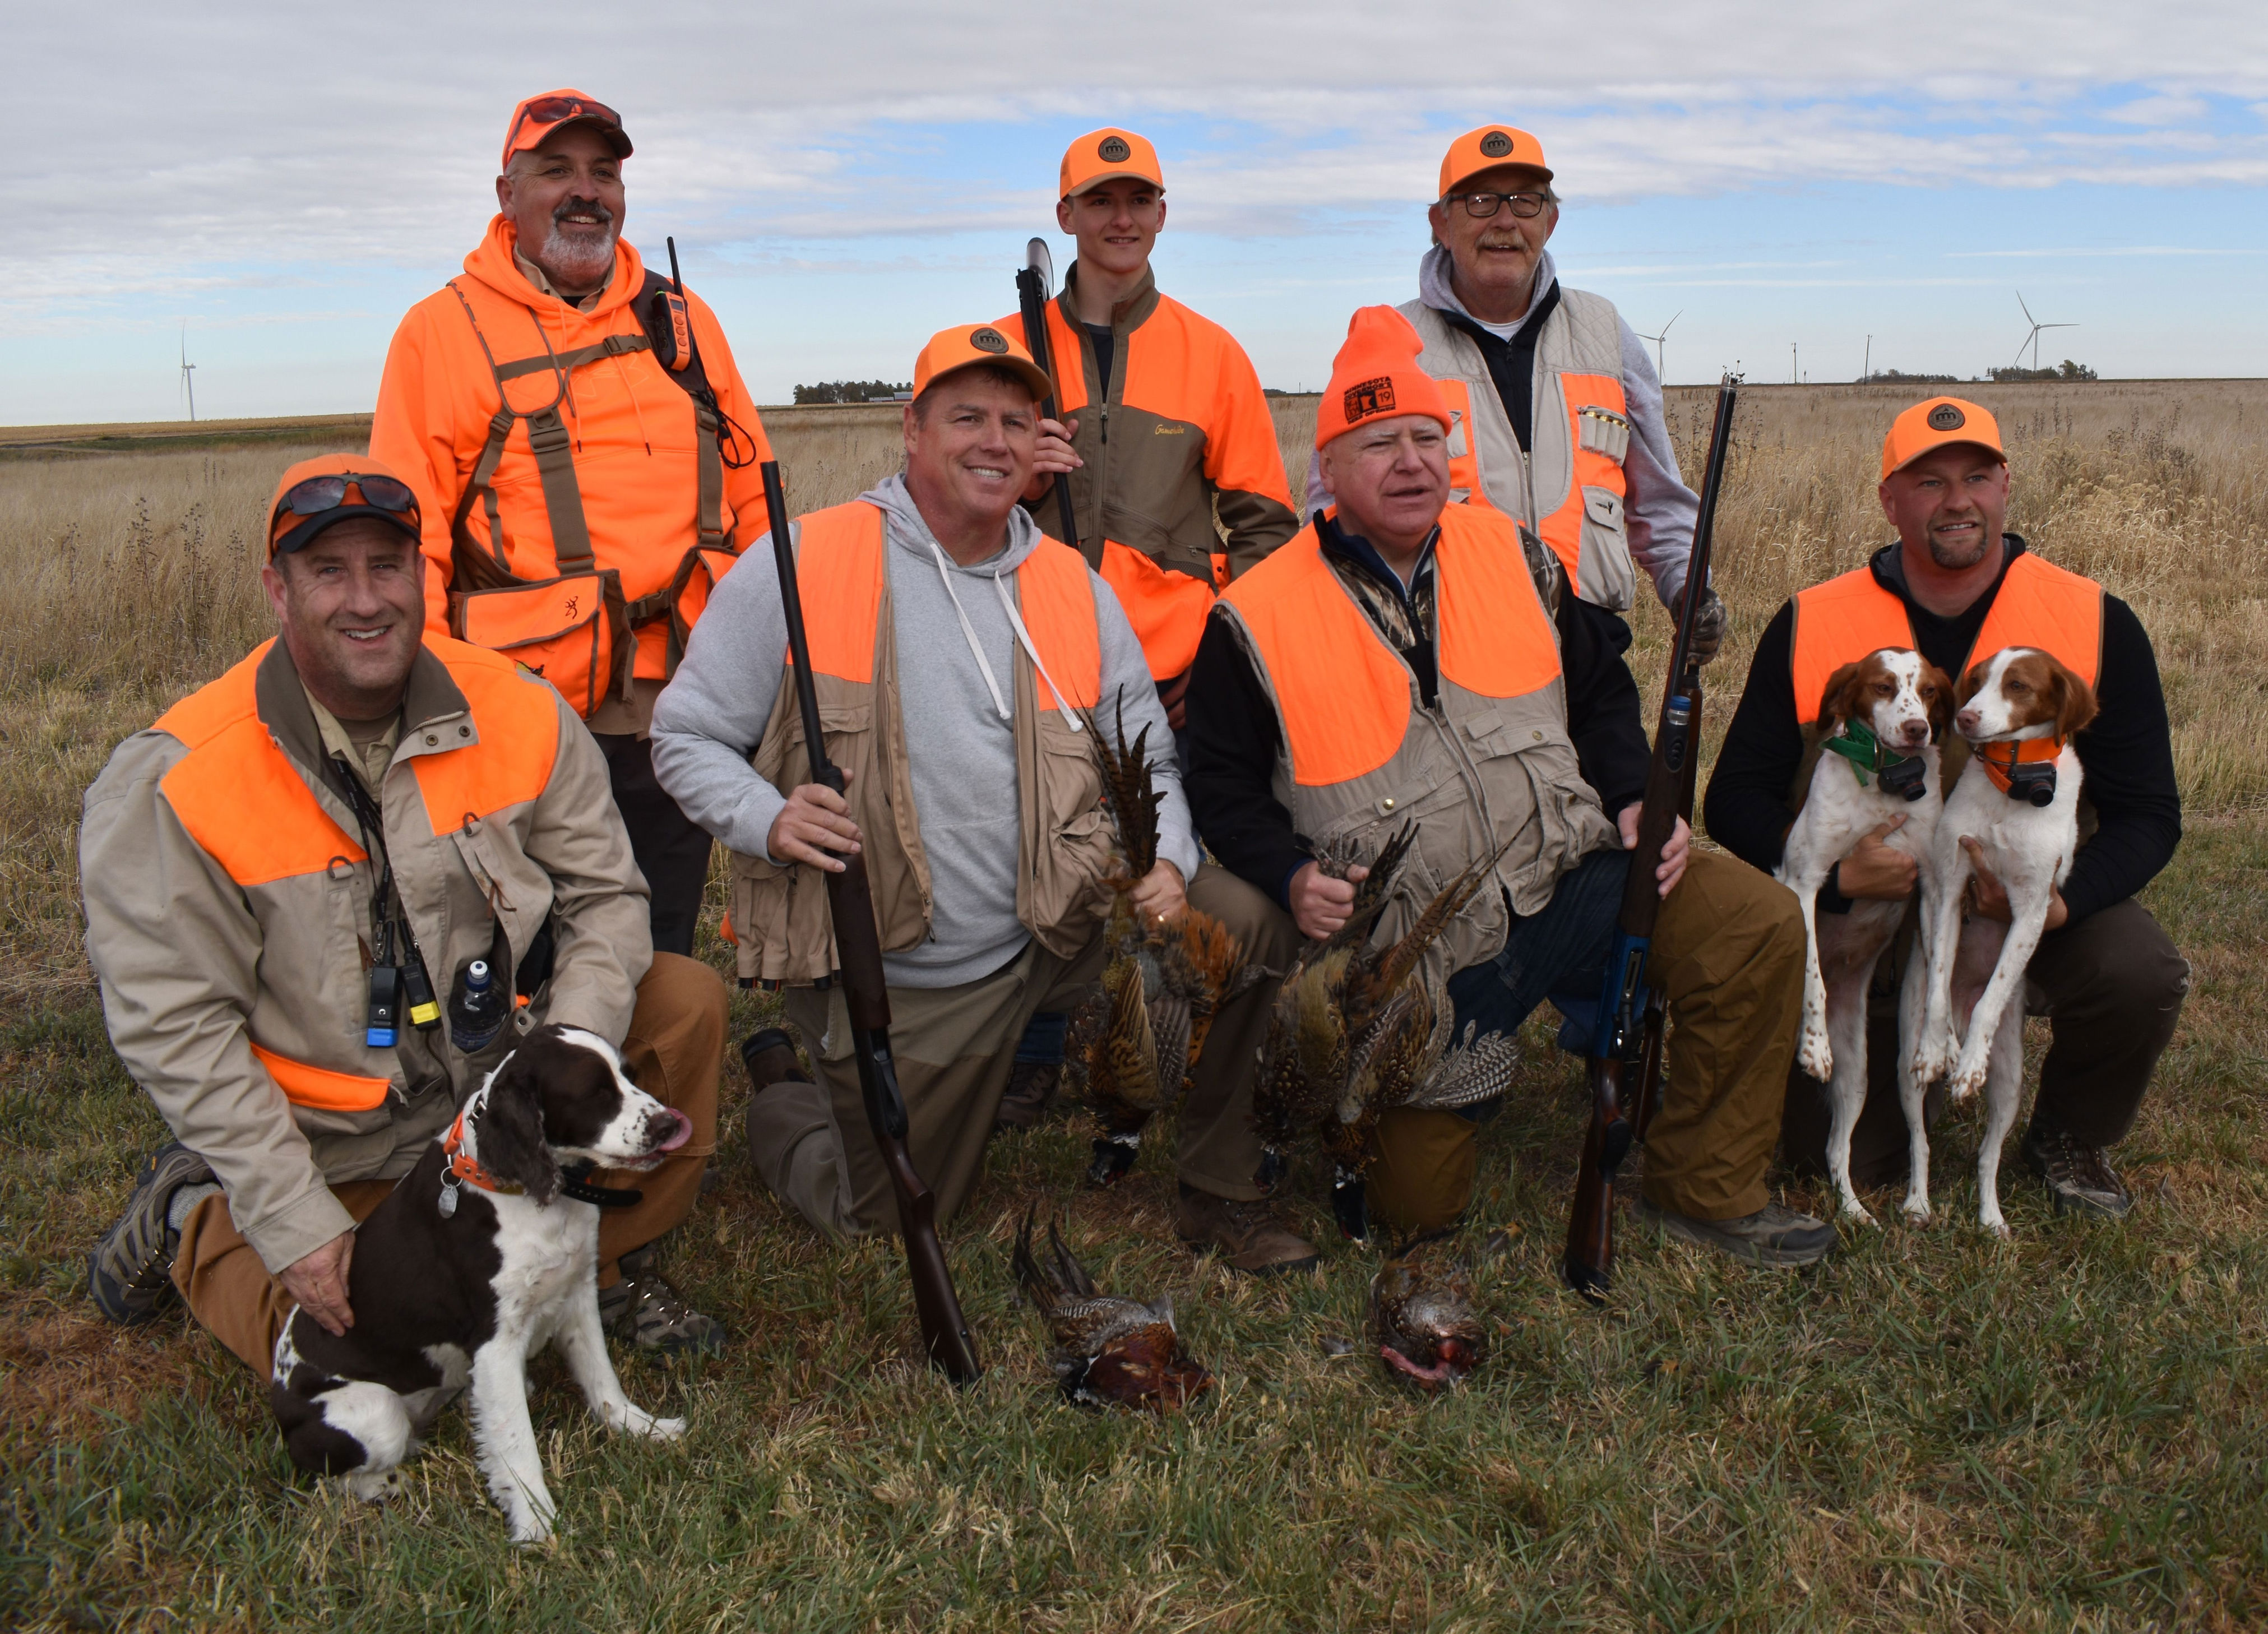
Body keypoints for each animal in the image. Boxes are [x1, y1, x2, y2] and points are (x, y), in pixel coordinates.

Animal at [270, 1025, 689, 1534]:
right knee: (334, 1476)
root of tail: (279, 1409)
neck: (523, 1194)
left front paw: (644, 1428)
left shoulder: (577, 1292)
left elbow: (602, 1377)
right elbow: (516, 1439)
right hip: (375, 1414)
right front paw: (536, 1523)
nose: (669, 1125)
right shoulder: (494, 1341)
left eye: (630, 1075)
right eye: (596, 1094)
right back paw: (387, 1483)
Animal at [1769, 644, 1950, 1216]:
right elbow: (1813, 978)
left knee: (1862, 1145)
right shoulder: (1804, 880)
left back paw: (1887, 1207)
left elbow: (1941, 971)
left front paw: (1942, 1041)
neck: (1883, 785)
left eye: (1929, 690)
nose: (1918, 729)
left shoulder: (1935, 890)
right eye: (1883, 686)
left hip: (1875, 1072)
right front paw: (1814, 1046)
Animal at [1923, 644, 2095, 1234]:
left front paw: (1970, 1061)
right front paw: (1938, 1047)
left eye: (2018, 684)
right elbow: (1936, 985)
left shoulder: (2031, 911)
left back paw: (1991, 1216)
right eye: (1976, 681)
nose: (1966, 717)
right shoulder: (1950, 887)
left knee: (1988, 1154)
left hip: (2014, 1079)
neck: (2010, 789)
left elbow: (1993, 996)